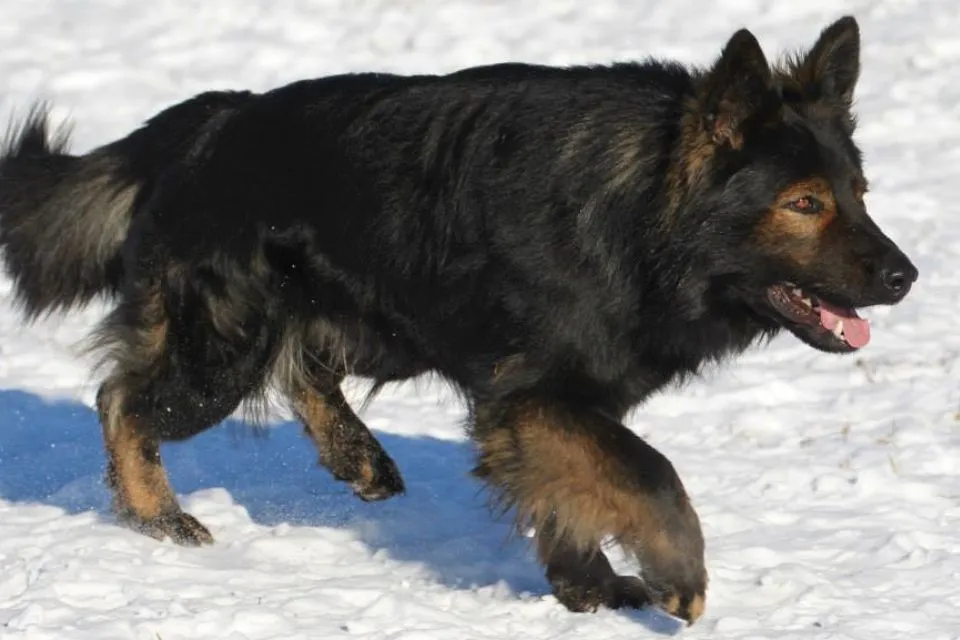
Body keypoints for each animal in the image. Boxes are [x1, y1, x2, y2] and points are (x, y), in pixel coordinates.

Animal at [0, 15, 916, 624]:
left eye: (859, 194)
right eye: (804, 204)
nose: (907, 277)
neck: (640, 213)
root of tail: (211, 118)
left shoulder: (545, 406)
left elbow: (572, 489)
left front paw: (586, 585)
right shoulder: (533, 395)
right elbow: (649, 473)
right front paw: (675, 574)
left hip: (358, 323)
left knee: (305, 369)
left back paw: (356, 455)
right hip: (222, 352)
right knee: (124, 400)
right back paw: (155, 515)